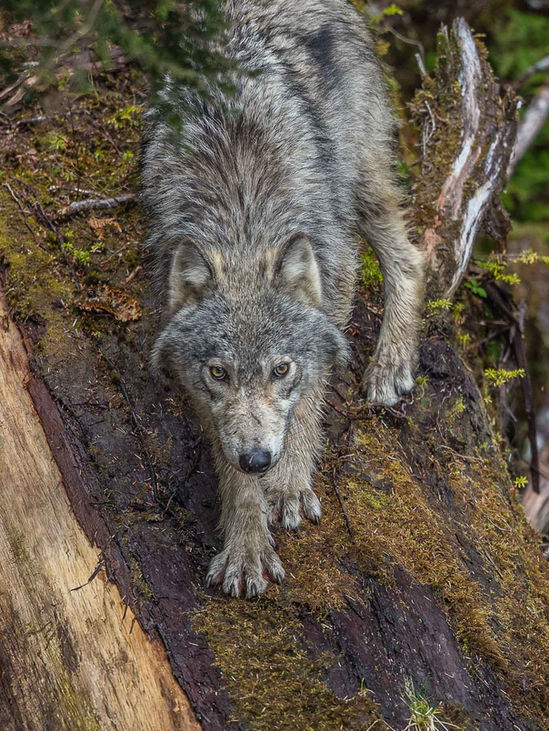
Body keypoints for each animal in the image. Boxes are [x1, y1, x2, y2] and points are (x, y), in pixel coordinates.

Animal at [142, 0, 425, 598]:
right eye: (219, 373)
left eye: (280, 370)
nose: (257, 459)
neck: (244, 222)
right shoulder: (200, 385)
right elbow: (229, 462)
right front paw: (247, 543)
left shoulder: (333, 286)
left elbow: (310, 399)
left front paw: (291, 482)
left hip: (360, 188)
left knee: (411, 256)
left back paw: (390, 365)